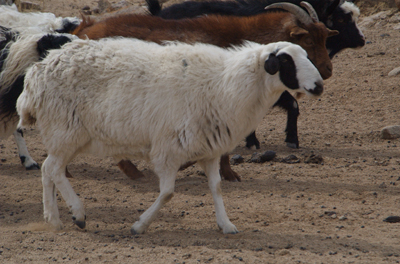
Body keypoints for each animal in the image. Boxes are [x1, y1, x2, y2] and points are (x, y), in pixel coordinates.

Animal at [16, 38, 324, 234]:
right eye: (285, 61)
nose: (319, 85)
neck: (225, 85)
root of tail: (37, 72)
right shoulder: (167, 150)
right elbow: (167, 193)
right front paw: (139, 225)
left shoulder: (210, 150)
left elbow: (216, 188)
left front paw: (226, 225)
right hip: (66, 129)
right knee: (54, 169)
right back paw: (77, 214)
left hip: (68, 135)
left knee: (47, 169)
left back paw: (53, 219)